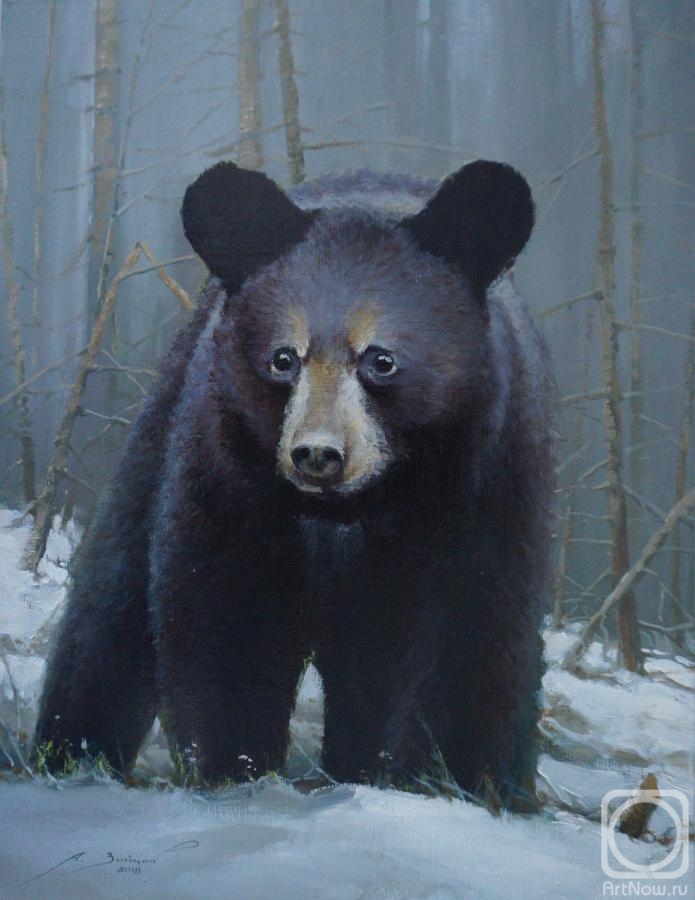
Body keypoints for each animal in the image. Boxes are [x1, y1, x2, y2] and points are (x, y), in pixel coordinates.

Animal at [35, 160, 555, 810]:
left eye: (381, 359)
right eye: (284, 358)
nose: (317, 454)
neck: (354, 510)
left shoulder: (485, 484)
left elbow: (474, 640)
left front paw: (448, 782)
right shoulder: (226, 468)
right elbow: (227, 613)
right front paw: (233, 771)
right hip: (159, 431)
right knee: (109, 603)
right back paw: (68, 755)